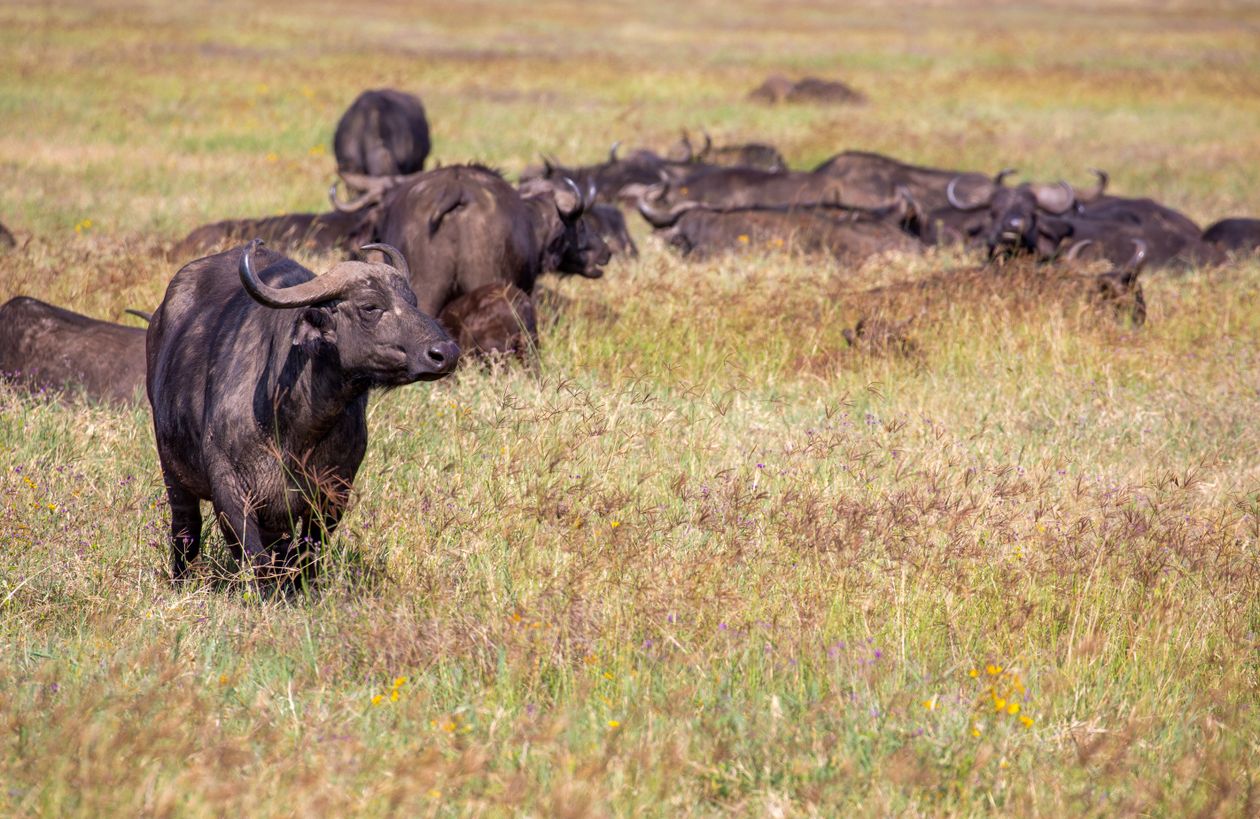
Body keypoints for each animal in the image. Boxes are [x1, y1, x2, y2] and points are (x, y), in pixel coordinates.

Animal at [146, 240, 458, 586]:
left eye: (412, 301)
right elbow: (255, 557)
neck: (296, 430)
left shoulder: (333, 491)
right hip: (173, 474)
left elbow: (307, 552)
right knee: (185, 529)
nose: (445, 353)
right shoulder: (229, 489)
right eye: (370, 307)